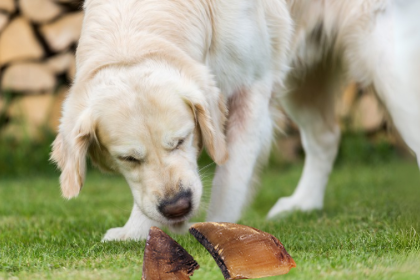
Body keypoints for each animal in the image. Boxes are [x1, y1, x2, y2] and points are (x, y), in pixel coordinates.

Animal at [51, 0, 420, 241]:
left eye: (182, 139)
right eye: (128, 158)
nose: (177, 207)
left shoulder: (250, 89)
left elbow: (231, 178)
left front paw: (218, 230)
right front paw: (136, 230)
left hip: (388, 64)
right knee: (326, 137)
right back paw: (303, 203)